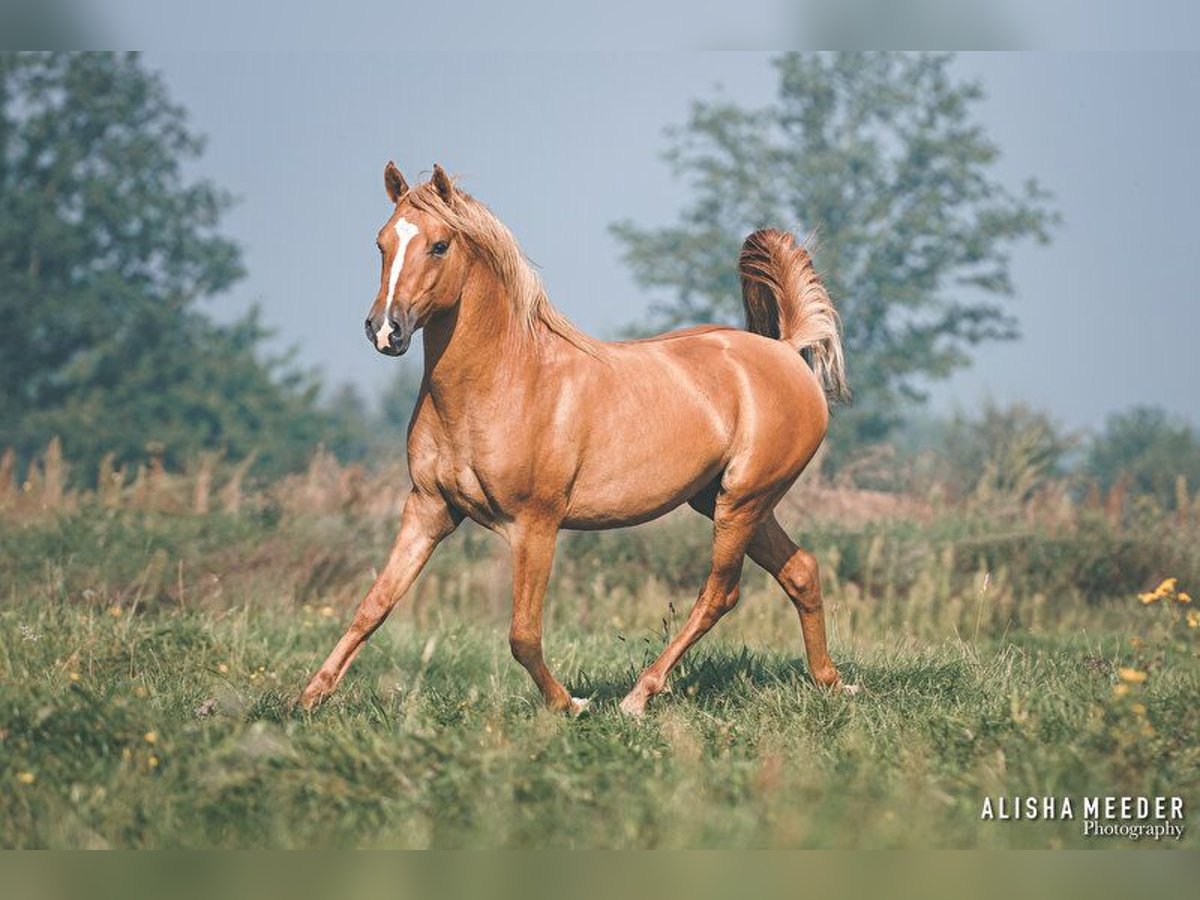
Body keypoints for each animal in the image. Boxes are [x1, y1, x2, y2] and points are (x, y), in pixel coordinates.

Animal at [304, 162, 859, 720]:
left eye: (439, 245)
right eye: (381, 243)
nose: (385, 330)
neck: (503, 380)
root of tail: (786, 352)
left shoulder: (534, 523)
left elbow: (522, 635)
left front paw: (570, 703)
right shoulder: (428, 509)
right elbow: (373, 604)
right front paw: (308, 697)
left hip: (742, 502)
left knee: (720, 594)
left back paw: (638, 696)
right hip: (723, 500)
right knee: (801, 571)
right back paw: (831, 682)